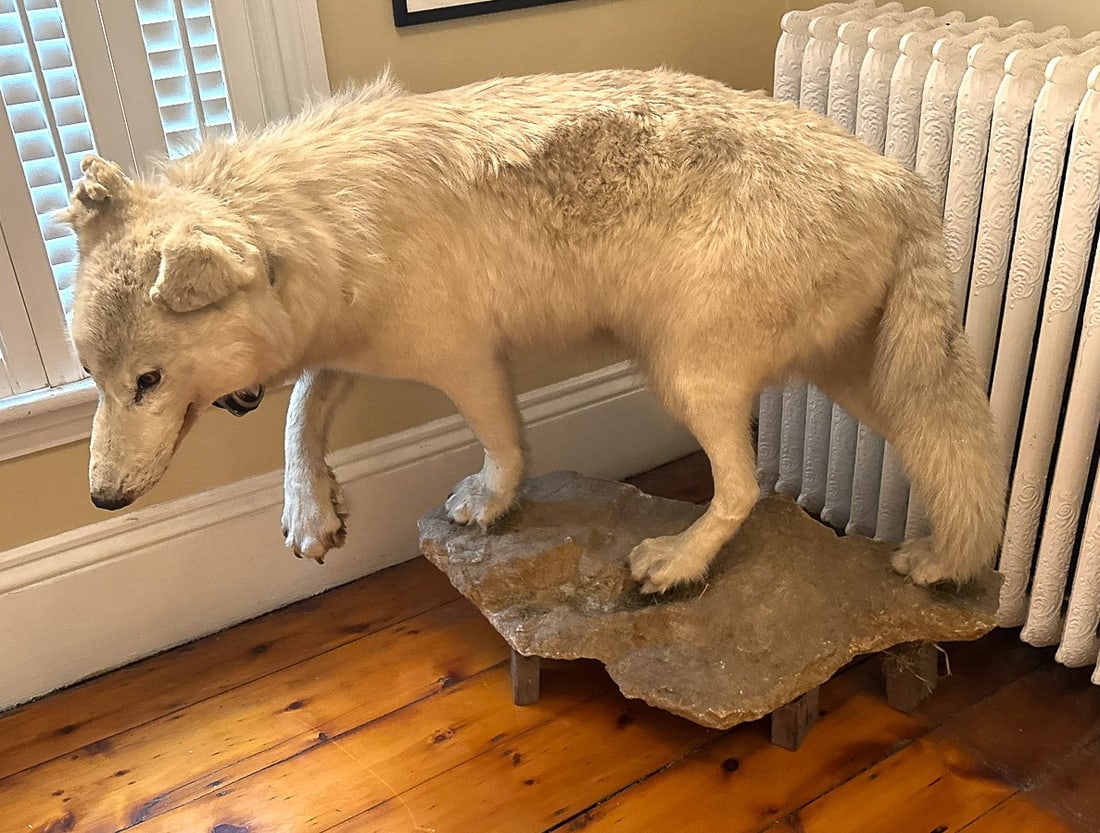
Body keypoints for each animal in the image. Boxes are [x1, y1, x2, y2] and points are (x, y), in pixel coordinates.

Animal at [64, 69, 1005, 593]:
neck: (317, 230)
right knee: (955, 461)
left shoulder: (466, 357)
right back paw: (939, 563)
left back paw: (677, 563)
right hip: (864, 381)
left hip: (687, 375)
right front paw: (309, 513)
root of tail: (902, 184)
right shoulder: (343, 349)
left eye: (146, 381)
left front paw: (488, 501)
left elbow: (503, 442)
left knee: (743, 490)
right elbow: (300, 417)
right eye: (97, 381)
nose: (100, 499)